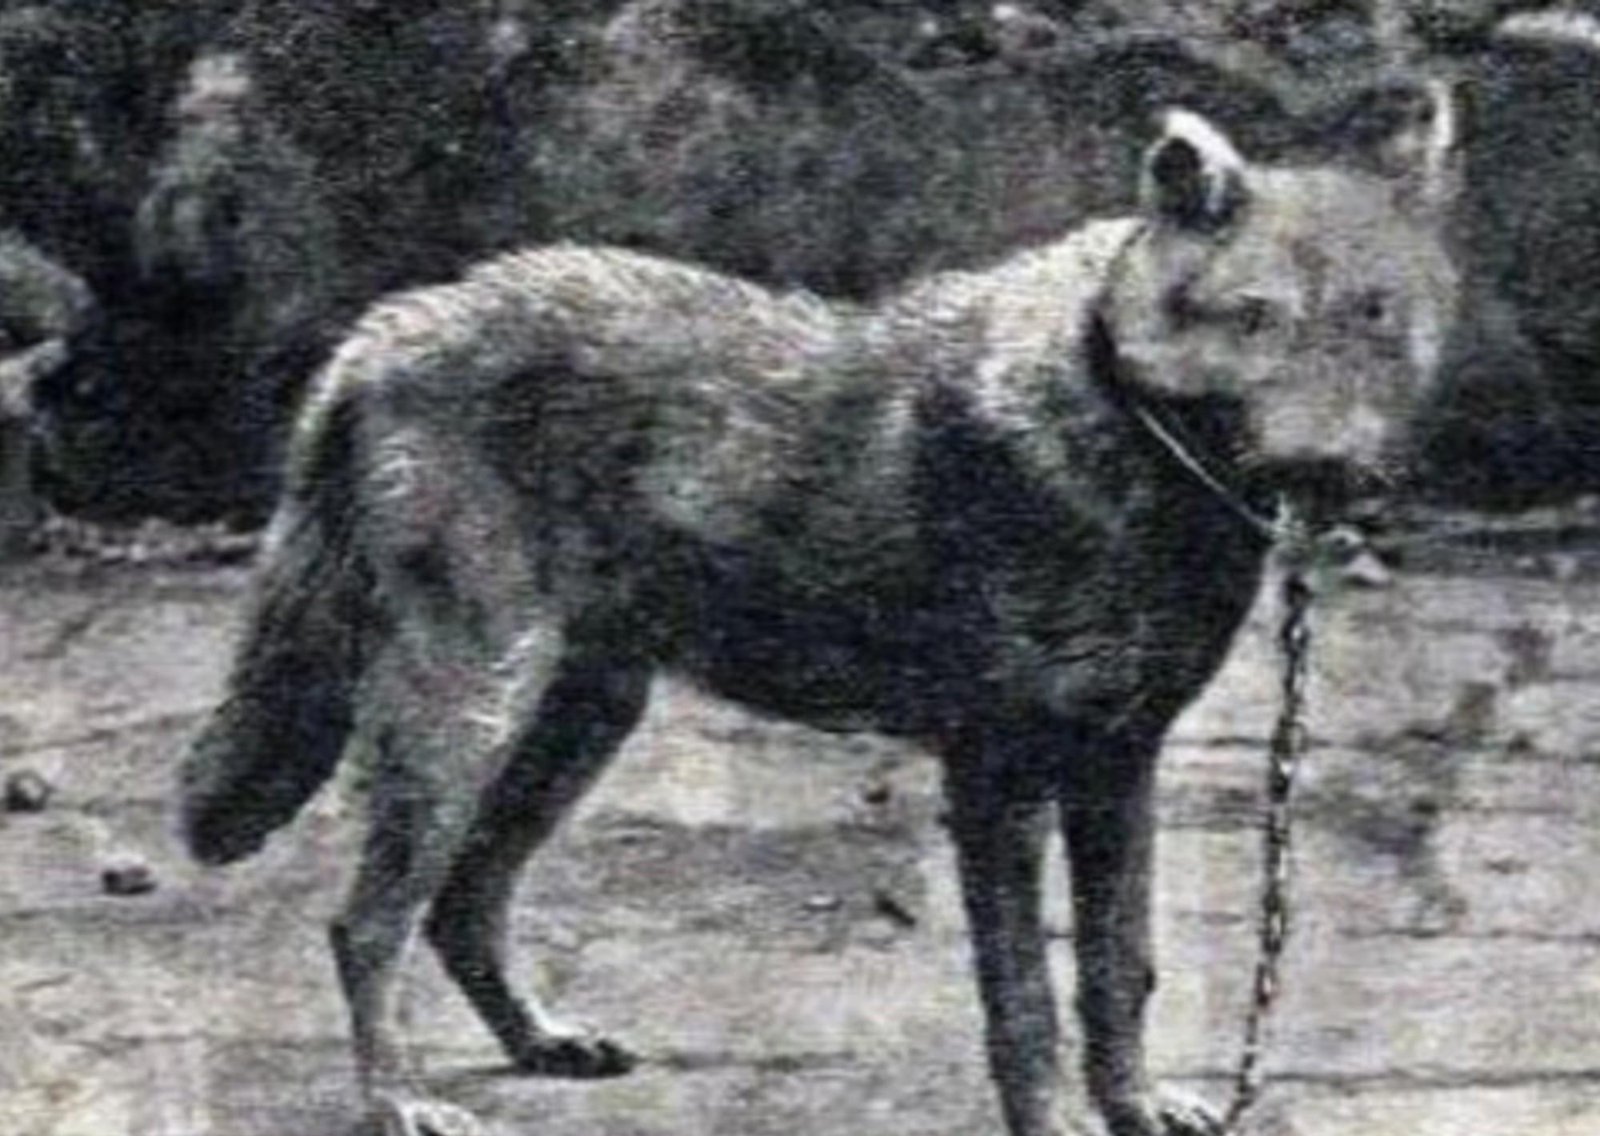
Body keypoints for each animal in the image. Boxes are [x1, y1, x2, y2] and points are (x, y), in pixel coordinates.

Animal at [180, 102, 1459, 1136]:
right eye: (1254, 316)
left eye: (1376, 316)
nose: (1335, 472)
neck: (1116, 422)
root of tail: (389, 326)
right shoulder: (998, 775)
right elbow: (1025, 997)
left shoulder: (1116, 762)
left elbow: (1117, 966)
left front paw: (1136, 1106)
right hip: (463, 708)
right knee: (370, 921)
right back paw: (396, 1098)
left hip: (576, 715)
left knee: (463, 901)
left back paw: (538, 1039)